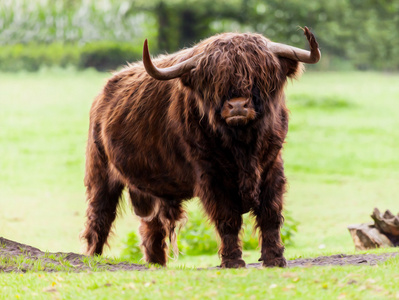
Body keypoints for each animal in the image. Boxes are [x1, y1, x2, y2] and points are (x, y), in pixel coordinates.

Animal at [82, 27, 322, 268]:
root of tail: (101, 95)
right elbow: (227, 218)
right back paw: (93, 258)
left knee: (151, 228)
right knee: (99, 217)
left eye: (259, 76)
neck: (243, 147)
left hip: (152, 188)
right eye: (214, 81)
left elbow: (270, 214)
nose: (237, 106)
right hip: (100, 174)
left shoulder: (271, 167)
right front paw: (233, 261)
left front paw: (275, 259)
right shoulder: (210, 175)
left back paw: (156, 264)